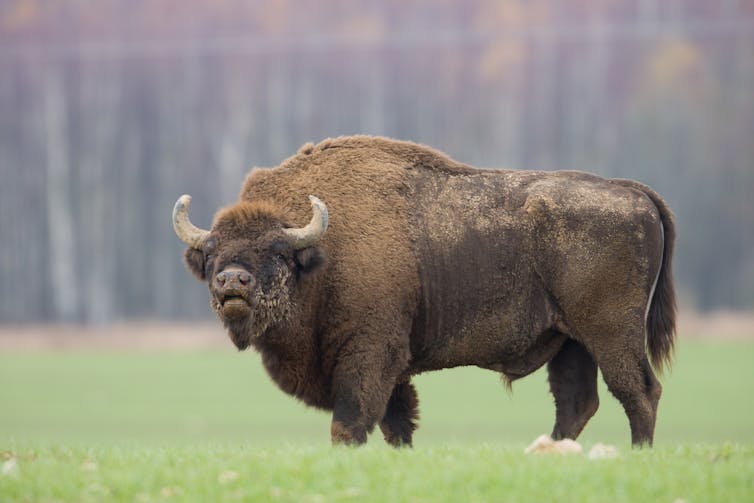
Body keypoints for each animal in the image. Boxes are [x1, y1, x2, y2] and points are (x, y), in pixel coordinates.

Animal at [173, 136, 676, 447]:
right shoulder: (394, 371)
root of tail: (632, 192)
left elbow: (351, 424)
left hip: (610, 335)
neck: (320, 252)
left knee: (639, 393)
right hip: (571, 341)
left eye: (277, 251)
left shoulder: (368, 355)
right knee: (576, 404)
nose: (232, 281)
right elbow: (399, 425)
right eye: (212, 252)